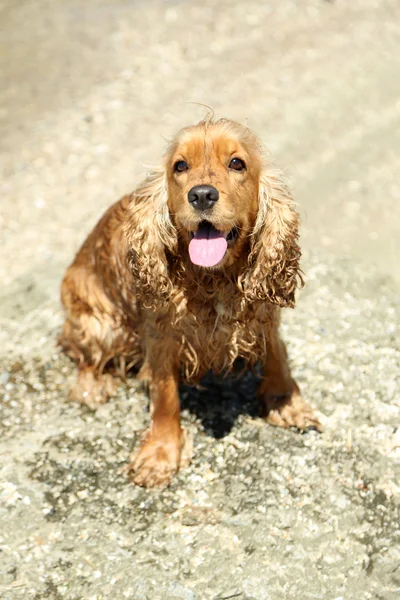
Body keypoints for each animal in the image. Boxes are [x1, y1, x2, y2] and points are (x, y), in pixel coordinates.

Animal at [60, 117, 322, 488]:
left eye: (237, 163)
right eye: (180, 166)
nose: (201, 194)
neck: (213, 279)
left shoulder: (263, 314)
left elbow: (276, 355)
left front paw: (286, 401)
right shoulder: (161, 334)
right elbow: (165, 394)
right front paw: (160, 453)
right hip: (99, 323)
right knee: (82, 351)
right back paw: (92, 385)